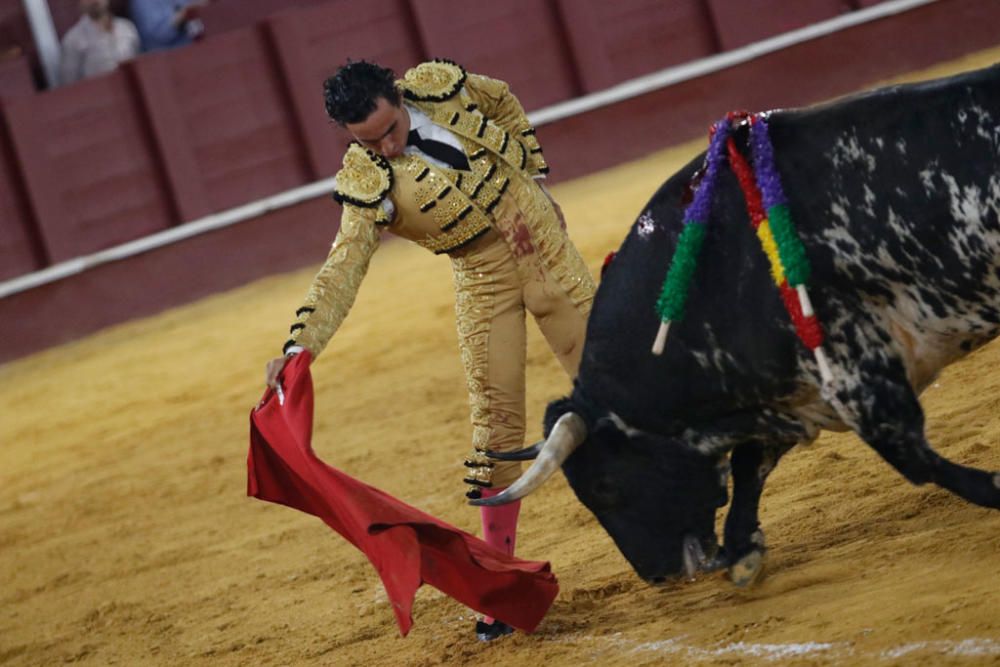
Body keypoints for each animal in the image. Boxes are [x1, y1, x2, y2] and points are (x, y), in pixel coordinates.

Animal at [472, 62, 1000, 584]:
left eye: (604, 486)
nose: (657, 575)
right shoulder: (792, 396)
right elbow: (750, 466)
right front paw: (743, 550)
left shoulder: (858, 381)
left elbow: (917, 461)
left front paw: (994, 485)